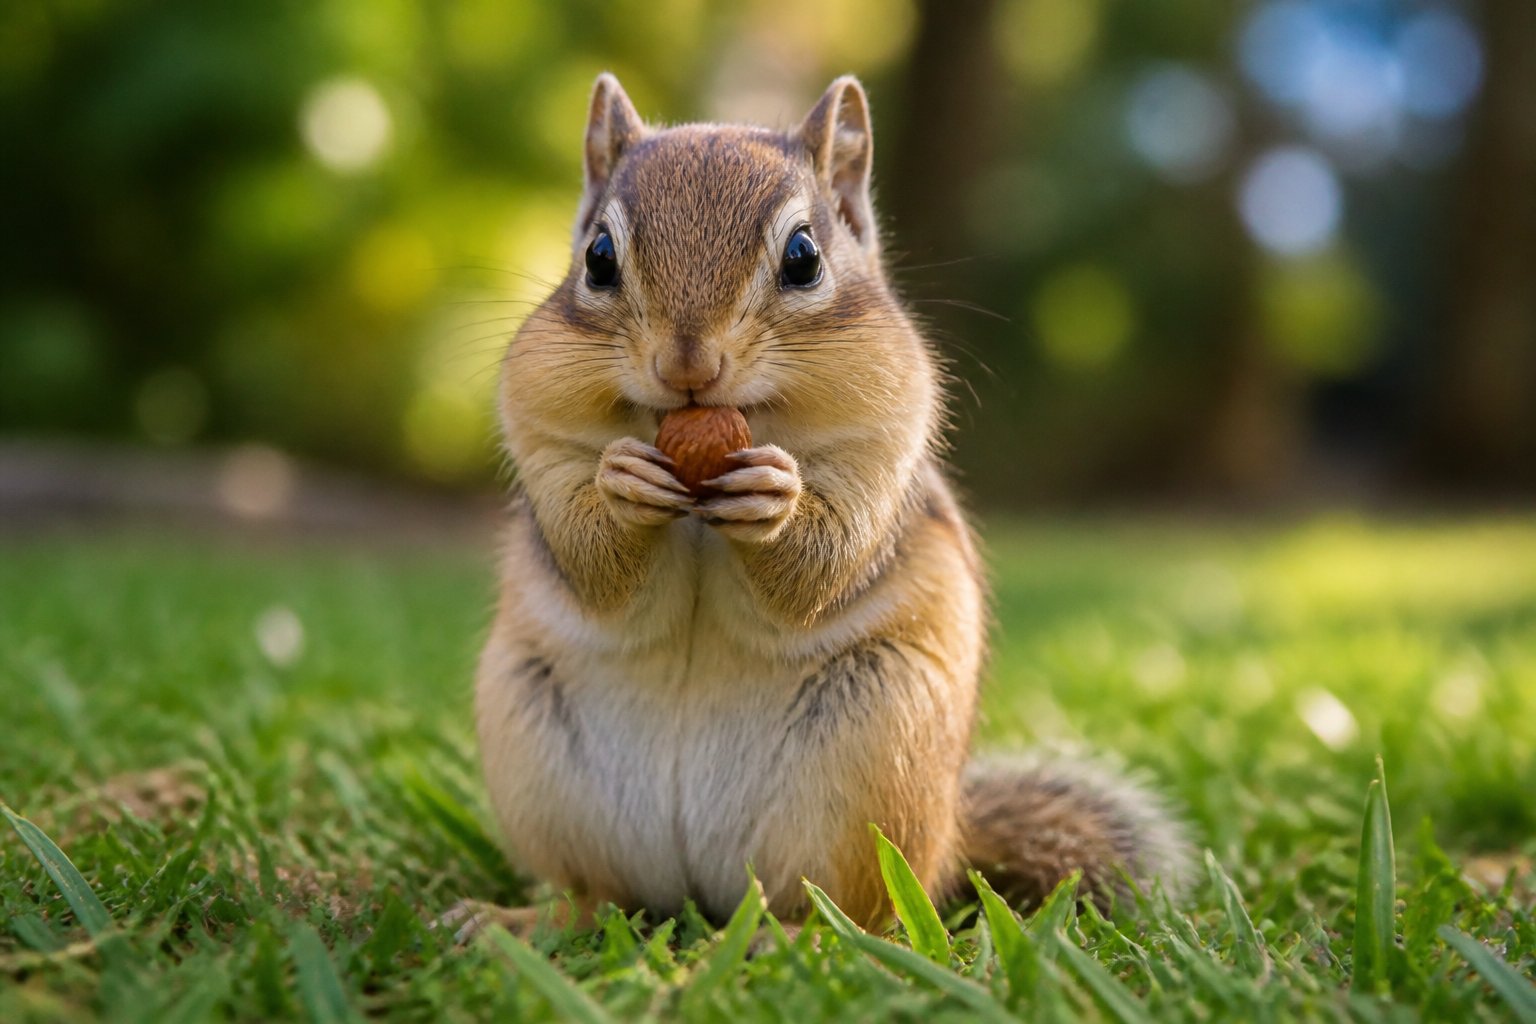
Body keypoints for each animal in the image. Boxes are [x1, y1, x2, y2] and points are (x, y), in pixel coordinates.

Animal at [455, 73, 1192, 938]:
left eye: (803, 258)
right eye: (598, 259)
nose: (687, 366)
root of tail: (699, 890)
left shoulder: (883, 448)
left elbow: (825, 561)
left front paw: (776, 500)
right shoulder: (539, 434)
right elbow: (585, 551)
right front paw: (621, 482)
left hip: (873, 763)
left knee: (855, 915)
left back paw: (785, 941)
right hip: (534, 749)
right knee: (603, 897)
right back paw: (515, 922)